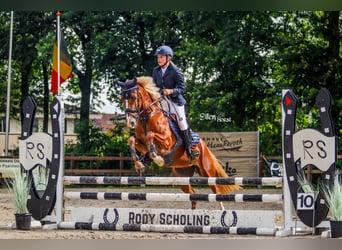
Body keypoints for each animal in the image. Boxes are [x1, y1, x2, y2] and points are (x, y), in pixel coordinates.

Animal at [117, 76, 240, 209]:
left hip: (207, 172)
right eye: (122, 99)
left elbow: (151, 135)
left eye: (134, 97)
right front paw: (139, 164)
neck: (146, 117)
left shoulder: (167, 143)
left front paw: (157, 159)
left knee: (216, 192)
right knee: (193, 195)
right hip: (181, 176)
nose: (130, 122)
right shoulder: (142, 145)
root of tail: (205, 147)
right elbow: (132, 140)